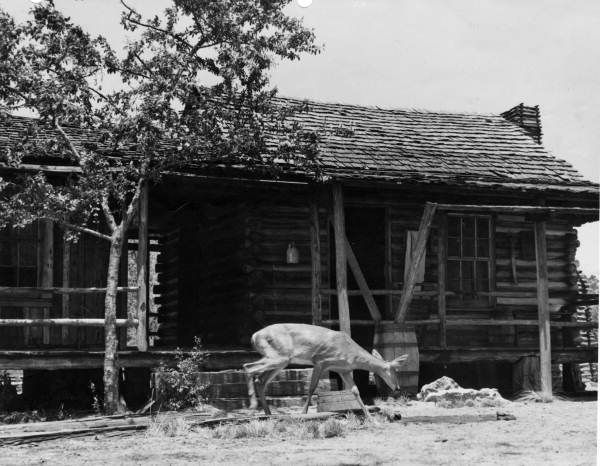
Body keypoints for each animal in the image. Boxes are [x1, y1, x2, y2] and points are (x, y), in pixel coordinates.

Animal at [243, 322, 408, 416]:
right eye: (394, 371)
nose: (398, 388)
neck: (351, 353)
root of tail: (254, 336)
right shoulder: (320, 361)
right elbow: (311, 388)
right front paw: (304, 412)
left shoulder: (344, 370)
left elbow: (355, 391)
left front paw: (371, 419)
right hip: (280, 357)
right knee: (248, 367)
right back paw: (253, 405)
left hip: (280, 360)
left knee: (260, 379)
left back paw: (268, 412)